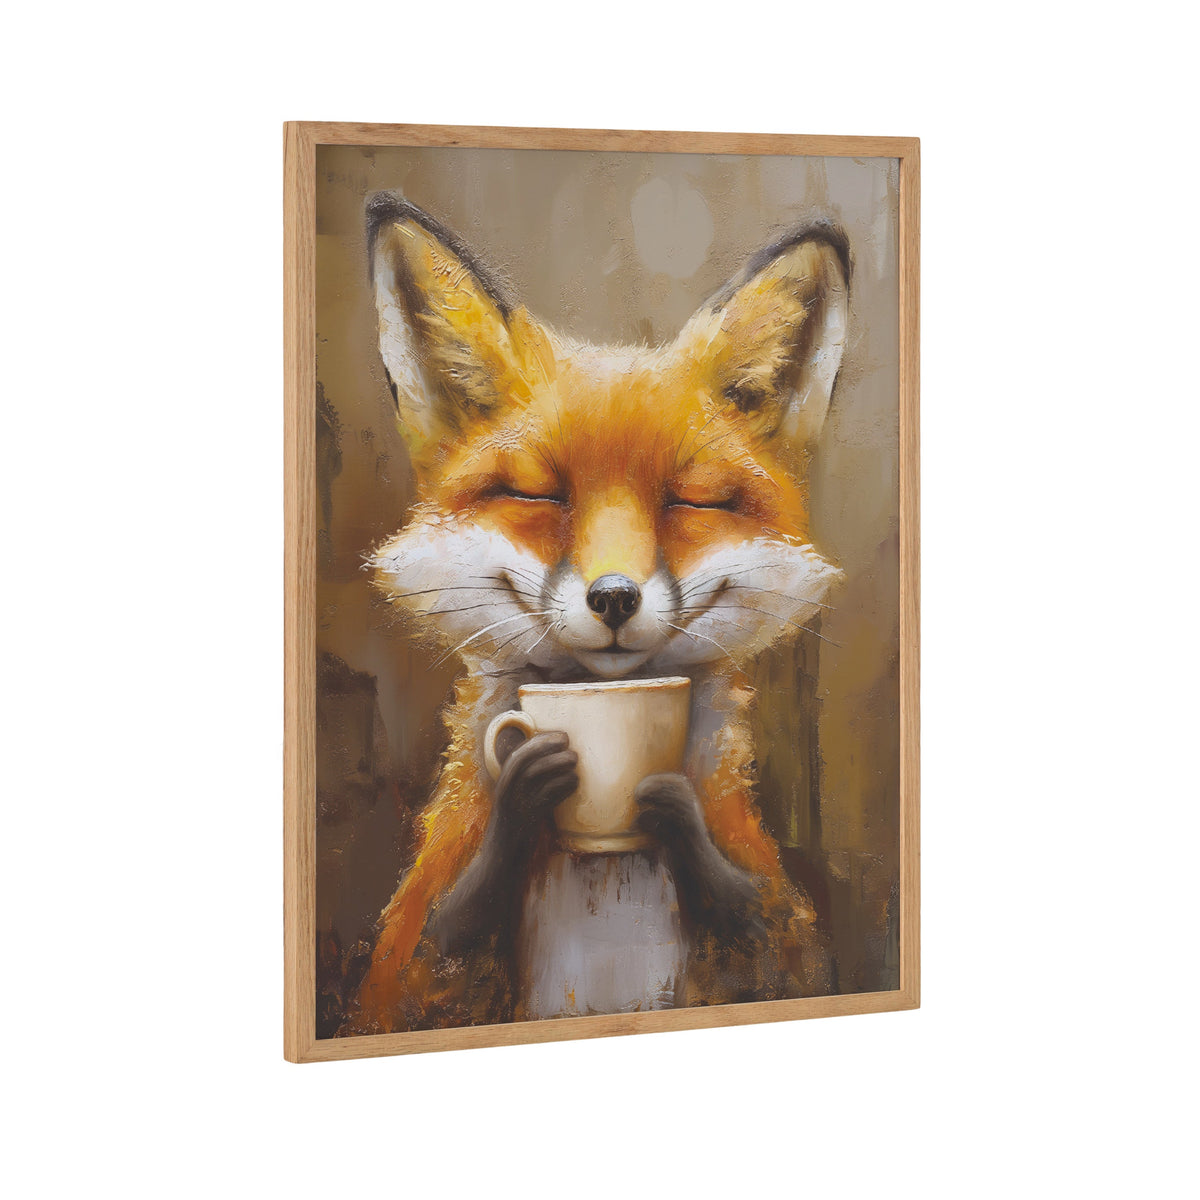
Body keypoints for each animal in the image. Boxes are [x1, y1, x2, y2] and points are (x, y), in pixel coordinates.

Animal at [345, 191, 851, 1033]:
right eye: (539, 495)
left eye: (691, 501)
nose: (614, 596)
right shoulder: (406, 977)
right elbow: (433, 959)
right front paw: (523, 796)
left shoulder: (782, 953)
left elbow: (764, 938)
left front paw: (676, 811)